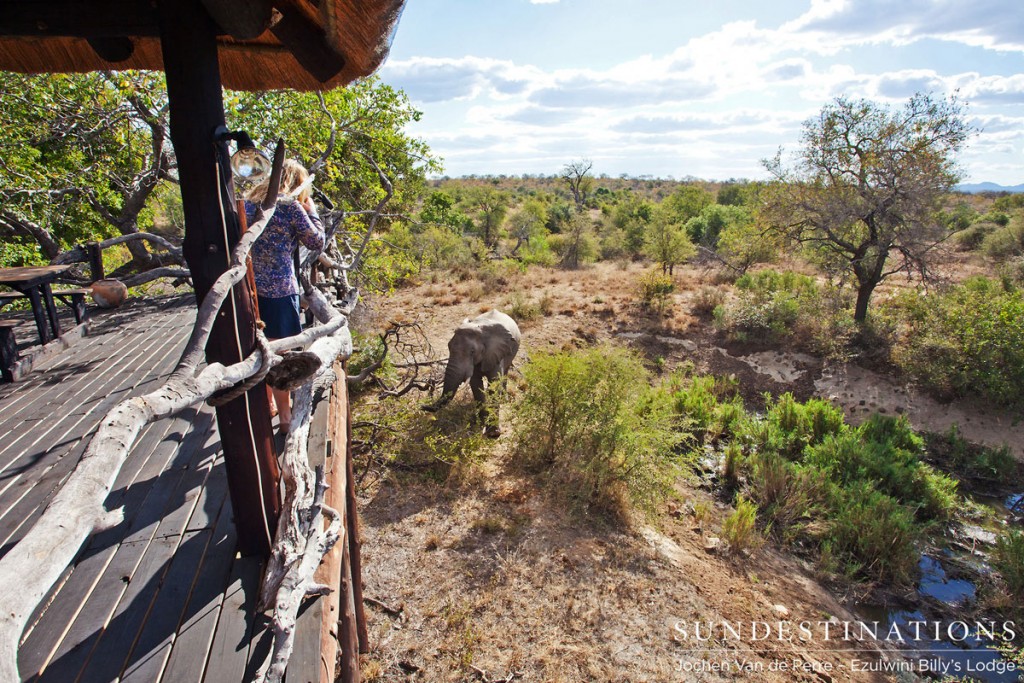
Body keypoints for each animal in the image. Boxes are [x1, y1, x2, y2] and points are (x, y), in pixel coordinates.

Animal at [423, 309, 520, 438]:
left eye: (472, 351)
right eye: (448, 347)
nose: (422, 406)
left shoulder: (495, 352)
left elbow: (494, 385)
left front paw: (493, 434)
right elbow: (476, 385)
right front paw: (481, 424)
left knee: (506, 371)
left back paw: (504, 399)